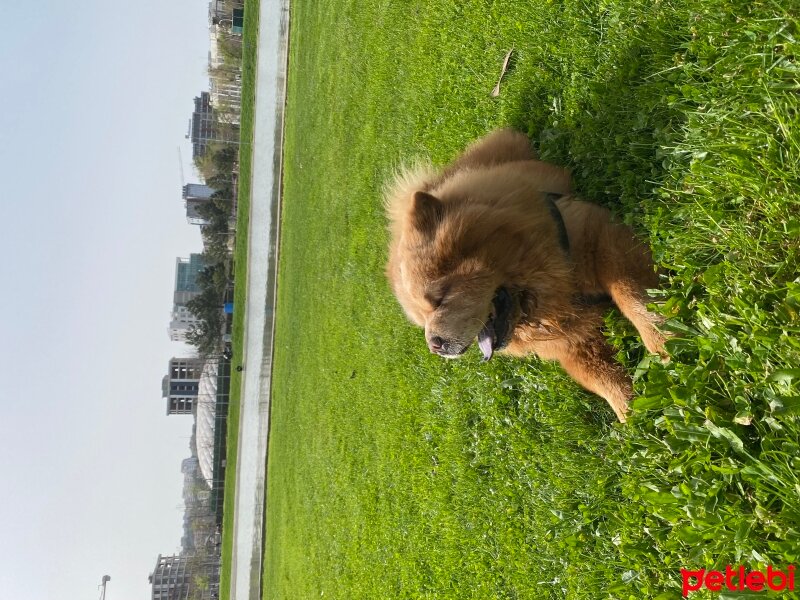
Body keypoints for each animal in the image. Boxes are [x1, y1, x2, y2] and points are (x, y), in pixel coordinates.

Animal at [384, 129, 664, 422]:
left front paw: (662, 340)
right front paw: (632, 415)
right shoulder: (573, 342)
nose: (434, 345)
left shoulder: (604, 239)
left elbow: (631, 295)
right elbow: (602, 378)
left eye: (438, 299)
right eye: (422, 319)